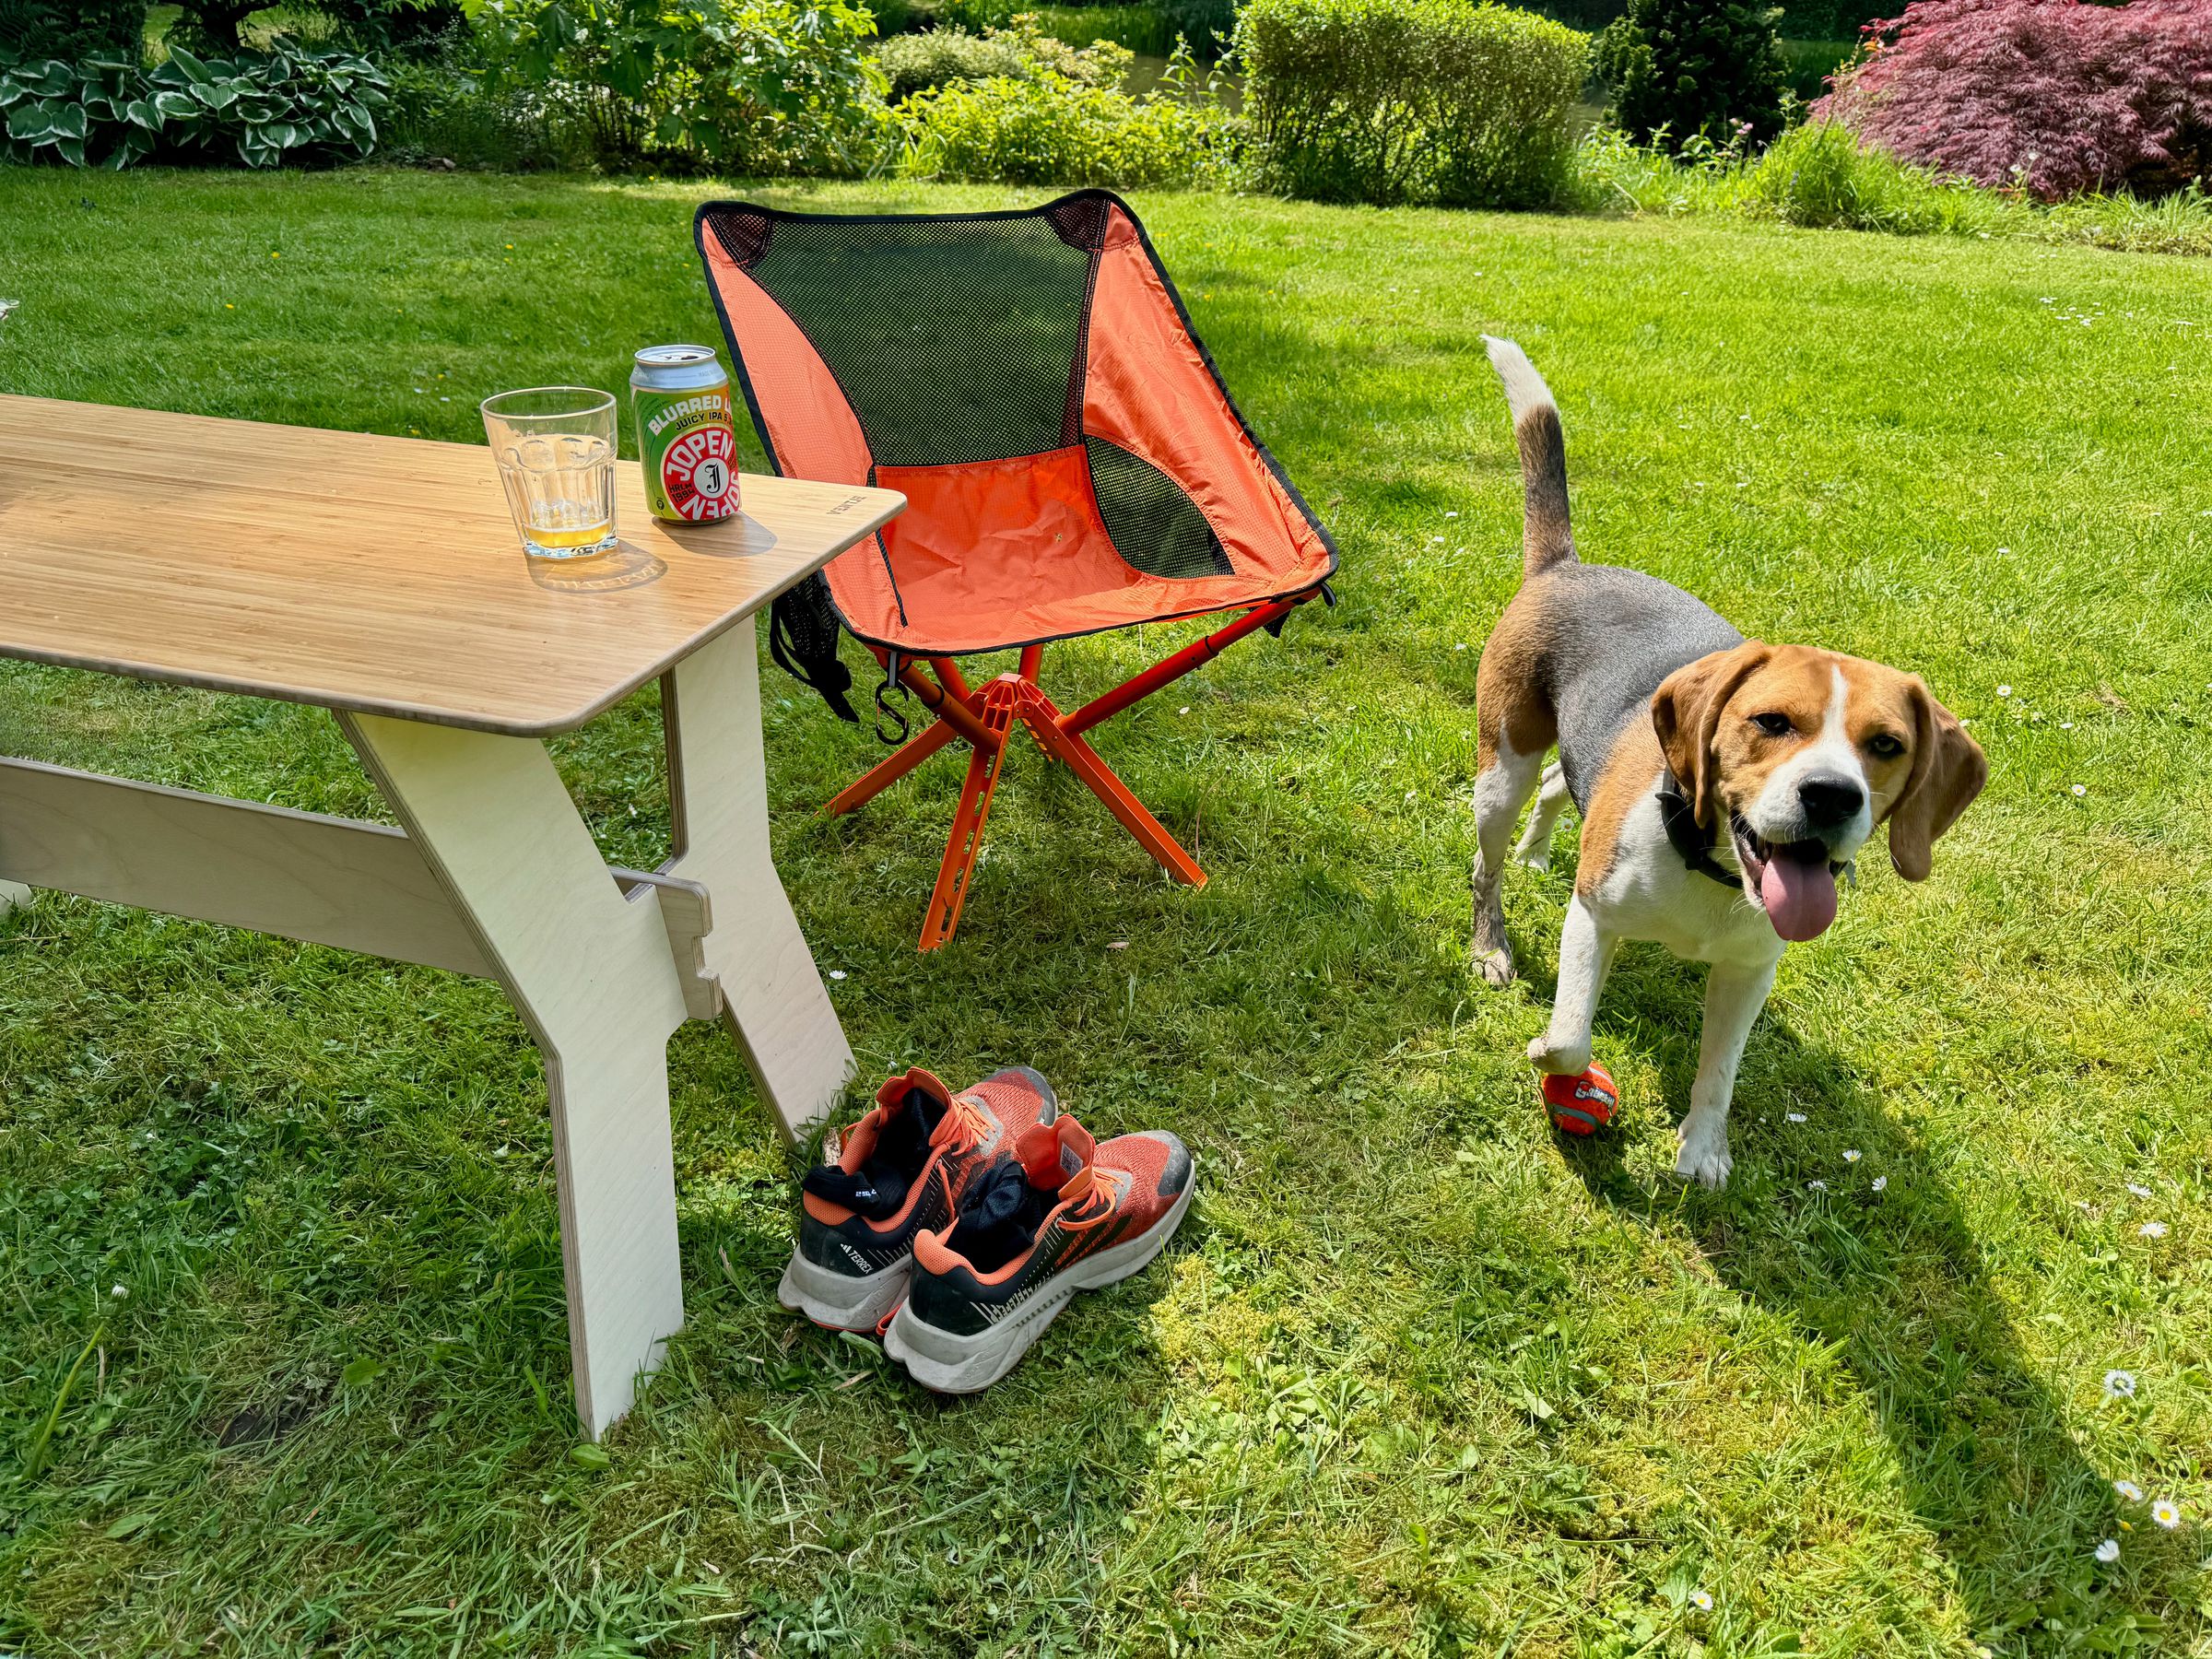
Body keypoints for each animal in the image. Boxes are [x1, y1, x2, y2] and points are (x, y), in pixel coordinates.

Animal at [1468, 338, 1991, 1185]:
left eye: (1886, 746)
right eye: (1770, 722)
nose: (1832, 797)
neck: (1710, 872)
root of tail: (1566, 565)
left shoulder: (1749, 971)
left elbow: (1720, 1071)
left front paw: (1704, 1148)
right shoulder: (1594, 917)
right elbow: (1574, 1037)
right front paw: (1550, 1051)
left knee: (1555, 784)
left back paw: (1541, 851)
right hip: (1499, 768)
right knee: (1490, 857)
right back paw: (1491, 943)